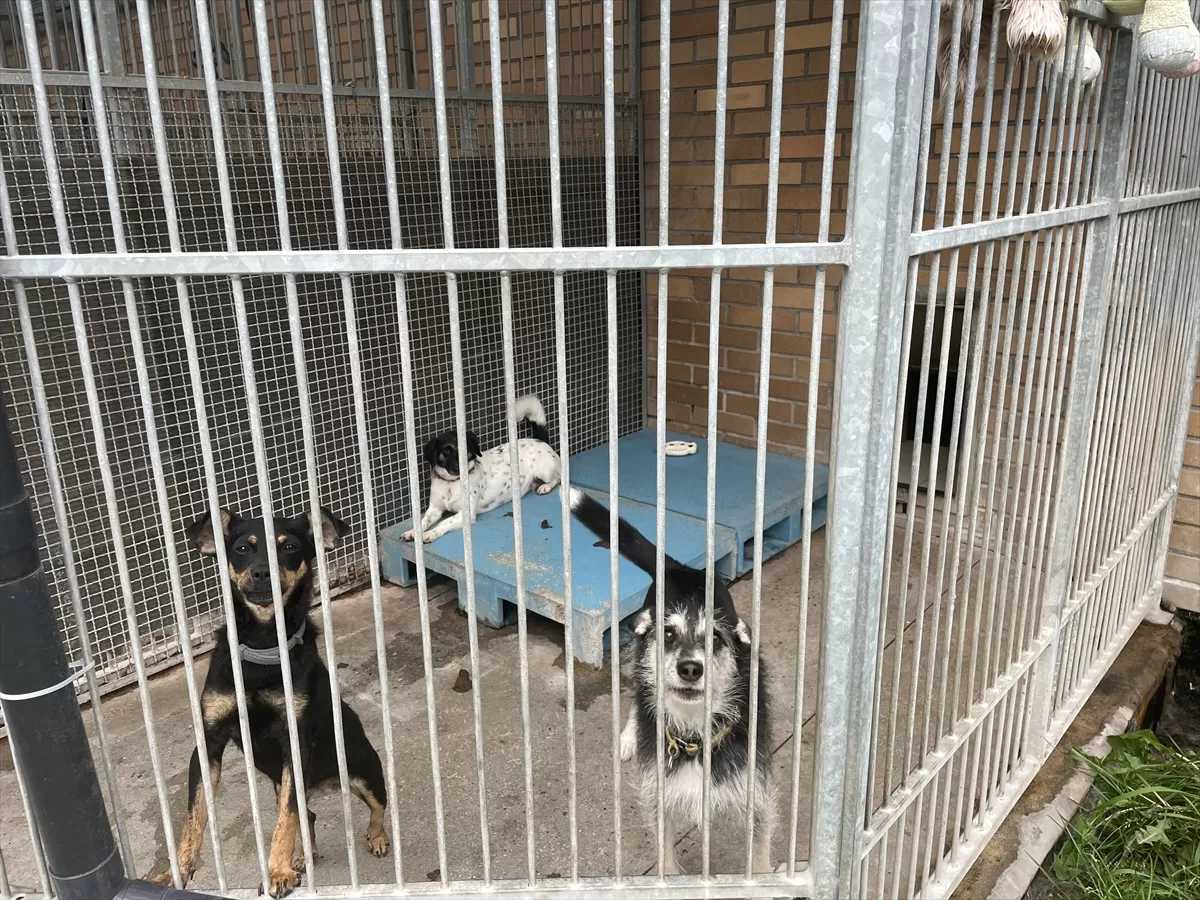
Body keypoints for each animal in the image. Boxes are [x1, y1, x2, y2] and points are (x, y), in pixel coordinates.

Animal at [155, 506, 389, 898]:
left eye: (289, 546)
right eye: (241, 548)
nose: (262, 572)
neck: (264, 644)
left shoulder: (294, 744)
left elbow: (286, 818)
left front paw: (277, 870)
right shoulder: (208, 744)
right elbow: (194, 816)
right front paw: (177, 872)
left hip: (365, 773)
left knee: (376, 807)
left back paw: (377, 838)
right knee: (307, 815)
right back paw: (302, 856)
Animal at [402, 394, 561, 543]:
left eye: (466, 449)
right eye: (446, 450)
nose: (458, 468)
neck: (451, 483)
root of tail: (539, 439)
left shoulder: (465, 515)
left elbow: (445, 522)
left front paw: (430, 533)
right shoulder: (434, 509)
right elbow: (422, 521)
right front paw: (412, 532)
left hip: (545, 470)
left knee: (559, 477)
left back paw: (545, 487)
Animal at [569, 489, 775, 875]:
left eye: (715, 639)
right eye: (667, 634)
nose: (690, 668)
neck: (695, 736)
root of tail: (679, 568)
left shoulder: (757, 799)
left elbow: (759, 857)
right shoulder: (659, 799)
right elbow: (665, 855)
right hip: (638, 661)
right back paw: (629, 736)